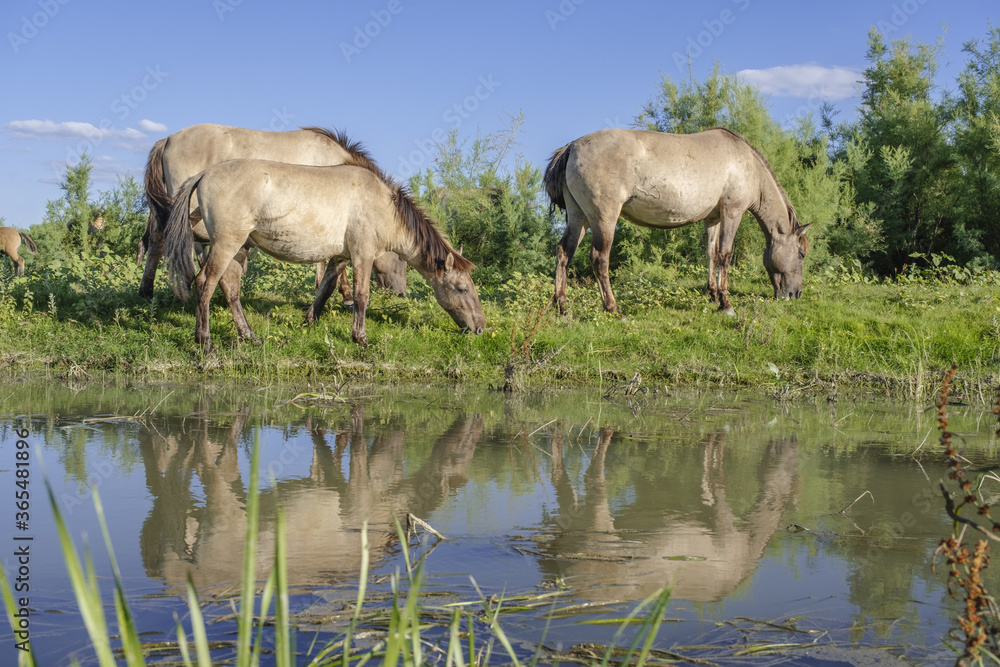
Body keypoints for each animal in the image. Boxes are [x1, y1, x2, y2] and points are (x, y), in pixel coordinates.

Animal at [139, 123, 408, 309]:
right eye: (401, 259)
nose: (402, 293)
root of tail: (168, 139)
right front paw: (347, 297)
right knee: (164, 241)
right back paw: (150, 291)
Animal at [163, 156, 485, 352]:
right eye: (461, 288)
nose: (481, 328)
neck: (382, 205)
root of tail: (205, 173)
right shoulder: (362, 254)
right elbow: (361, 296)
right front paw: (360, 338)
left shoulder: (340, 257)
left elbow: (326, 288)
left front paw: (310, 321)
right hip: (226, 245)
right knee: (205, 284)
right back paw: (204, 341)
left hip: (239, 249)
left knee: (230, 289)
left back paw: (249, 336)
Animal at [544, 127, 812, 316]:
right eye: (801, 254)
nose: (796, 294)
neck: (746, 164)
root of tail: (572, 147)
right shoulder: (732, 212)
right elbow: (725, 255)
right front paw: (726, 303)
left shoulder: (713, 218)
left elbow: (711, 254)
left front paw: (713, 295)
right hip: (604, 218)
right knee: (600, 259)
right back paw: (613, 310)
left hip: (579, 217)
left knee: (564, 253)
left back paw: (563, 309)